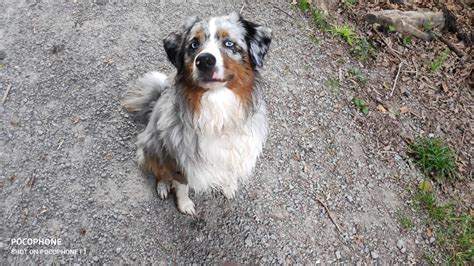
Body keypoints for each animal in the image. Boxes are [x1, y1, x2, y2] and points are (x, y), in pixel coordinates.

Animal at [123, 12, 270, 215]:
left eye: (229, 43)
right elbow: (181, 185)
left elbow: (229, 172)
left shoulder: (235, 152)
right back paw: (162, 186)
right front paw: (185, 205)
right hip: (152, 146)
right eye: (194, 44)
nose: (205, 60)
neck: (217, 108)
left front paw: (229, 187)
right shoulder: (179, 158)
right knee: (160, 171)